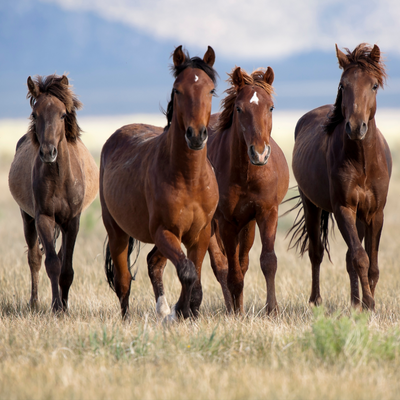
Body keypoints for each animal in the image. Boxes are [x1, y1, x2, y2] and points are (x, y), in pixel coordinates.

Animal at [8, 75, 99, 312]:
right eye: (34, 114)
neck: (59, 178)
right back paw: (34, 303)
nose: (48, 152)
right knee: (35, 259)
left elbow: (66, 268)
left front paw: (64, 306)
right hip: (27, 217)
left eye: (63, 114)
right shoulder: (44, 218)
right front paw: (57, 307)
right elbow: (51, 264)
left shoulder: (72, 221)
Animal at [100, 45, 219, 320]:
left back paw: (164, 310)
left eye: (211, 90)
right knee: (124, 280)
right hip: (117, 232)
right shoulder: (165, 231)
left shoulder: (200, 233)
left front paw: (186, 311)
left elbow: (195, 276)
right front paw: (180, 311)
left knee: (154, 263)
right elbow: (188, 272)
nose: (196, 135)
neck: (189, 179)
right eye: (178, 90)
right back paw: (129, 319)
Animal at [206, 66, 288, 316]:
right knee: (222, 266)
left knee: (242, 263)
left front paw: (272, 310)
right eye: (239, 108)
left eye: (270, 107)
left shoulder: (266, 213)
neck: (246, 175)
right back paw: (232, 308)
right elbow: (232, 272)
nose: (259, 153)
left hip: (248, 225)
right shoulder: (226, 222)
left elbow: (268, 262)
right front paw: (236, 314)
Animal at [290, 44, 392, 312]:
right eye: (343, 85)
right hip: (311, 205)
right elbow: (360, 258)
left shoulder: (375, 213)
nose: (356, 127)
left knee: (347, 258)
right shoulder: (343, 208)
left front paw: (367, 303)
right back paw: (316, 300)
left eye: (374, 85)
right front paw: (369, 304)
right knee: (316, 252)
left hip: (360, 216)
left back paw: (354, 302)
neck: (363, 162)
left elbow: (371, 264)